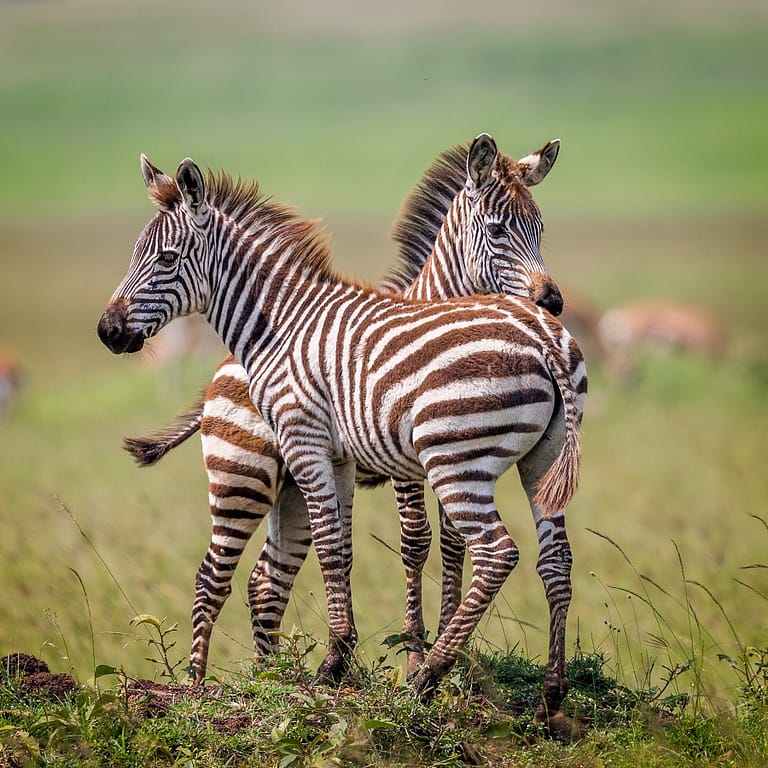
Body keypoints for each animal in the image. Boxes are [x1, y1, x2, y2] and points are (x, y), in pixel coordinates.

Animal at [97, 147, 588, 716]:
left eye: (167, 259)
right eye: (498, 229)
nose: (107, 331)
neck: (280, 324)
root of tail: (542, 335)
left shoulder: (310, 442)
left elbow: (346, 547)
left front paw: (343, 663)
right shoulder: (340, 456)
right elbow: (349, 550)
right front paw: (348, 660)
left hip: (438, 465)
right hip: (534, 461)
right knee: (555, 560)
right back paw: (550, 695)